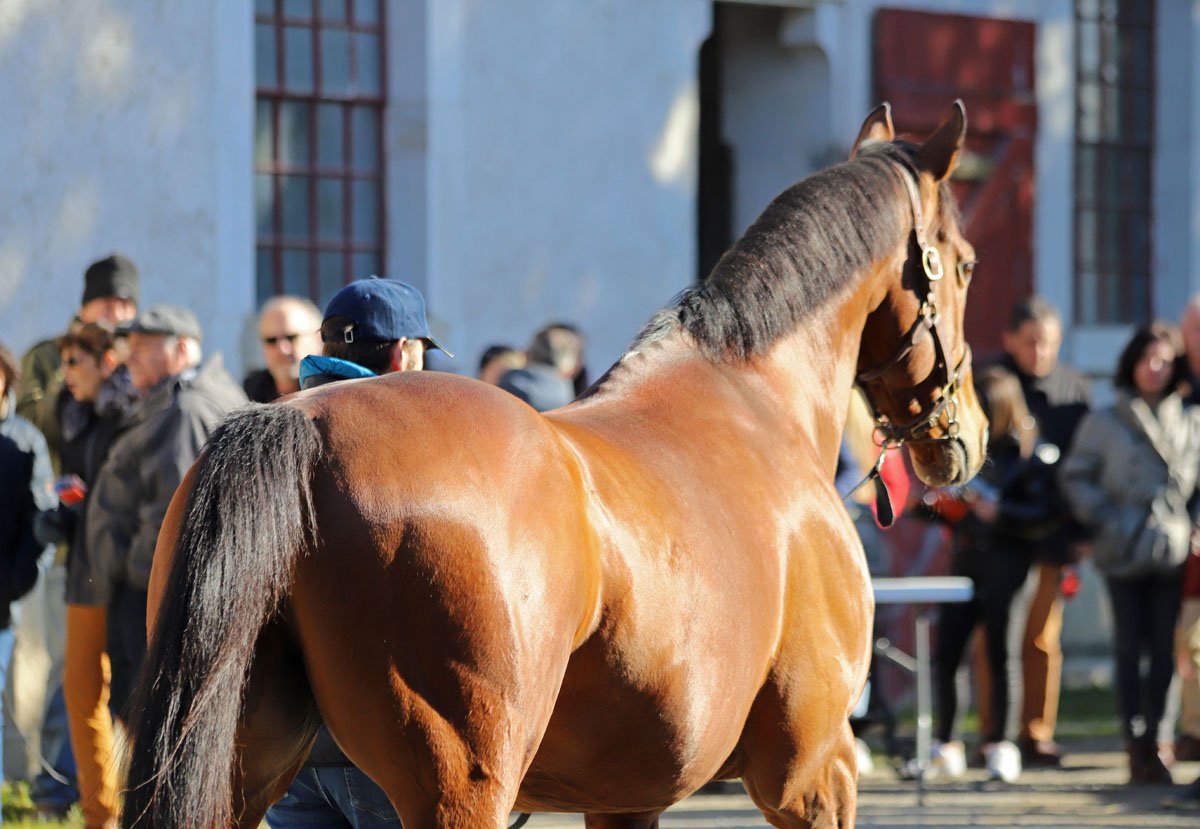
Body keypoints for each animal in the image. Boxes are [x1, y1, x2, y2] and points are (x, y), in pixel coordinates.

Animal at [123, 100, 985, 829]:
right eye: (967, 262)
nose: (967, 433)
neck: (755, 394)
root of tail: (300, 425)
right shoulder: (812, 770)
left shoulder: (626, 795)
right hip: (461, 785)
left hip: (242, 768)